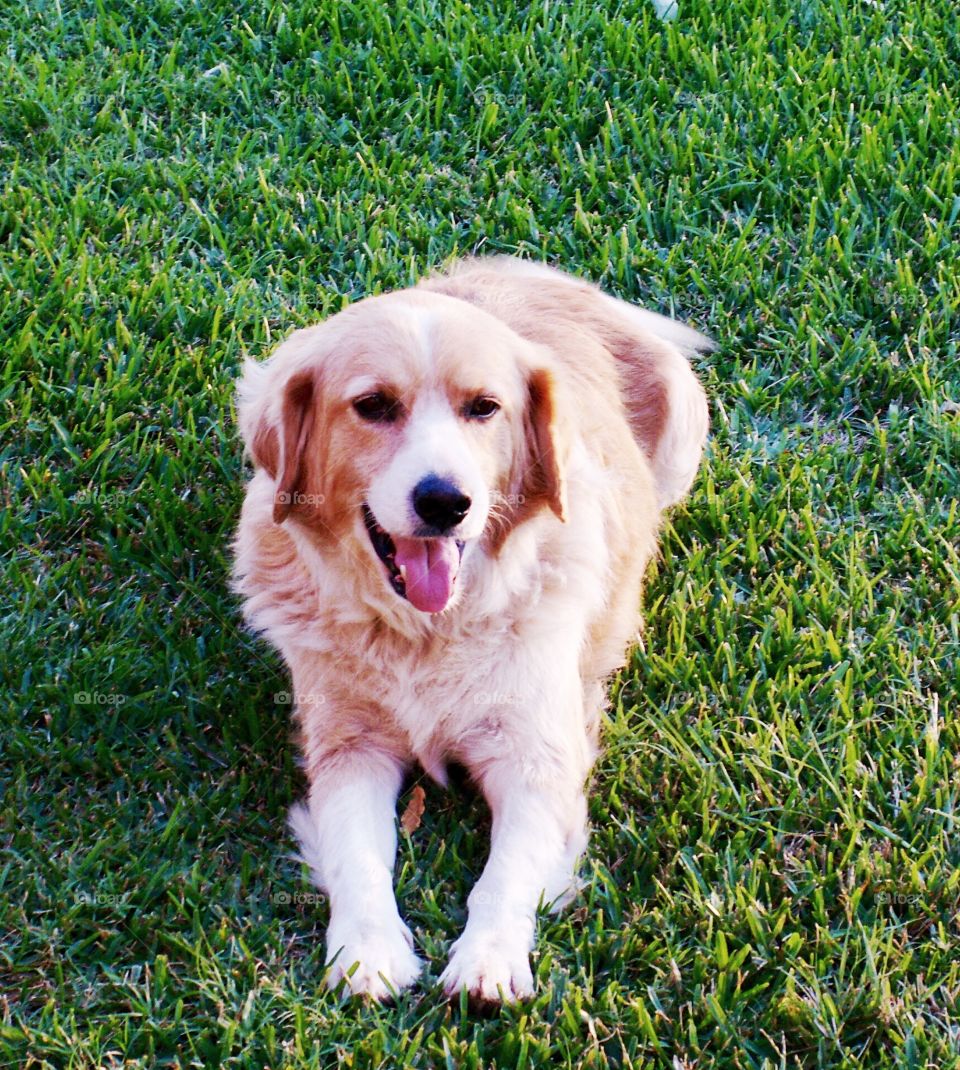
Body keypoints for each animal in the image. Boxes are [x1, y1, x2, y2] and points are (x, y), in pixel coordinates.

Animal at [232, 258, 710, 1001]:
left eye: (483, 408)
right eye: (374, 406)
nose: (445, 501)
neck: (424, 632)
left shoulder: (535, 756)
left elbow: (503, 875)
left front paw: (489, 958)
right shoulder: (348, 746)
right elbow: (358, 857)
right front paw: (366, 952)